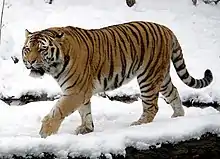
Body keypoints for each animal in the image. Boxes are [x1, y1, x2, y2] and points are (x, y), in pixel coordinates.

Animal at [22, 20, 213, 138]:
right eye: (27, 49)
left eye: (41, 49)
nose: (30, 62)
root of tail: (166, 28)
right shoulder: (81, 91)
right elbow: (85, 111)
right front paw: (87, 129)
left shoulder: (75, 91)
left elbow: (58, 111)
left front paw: (45, 133)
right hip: (161, 75)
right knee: (173, 91)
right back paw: (178, 117)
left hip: (148, 77)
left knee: (152, 106)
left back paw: (139, 124)